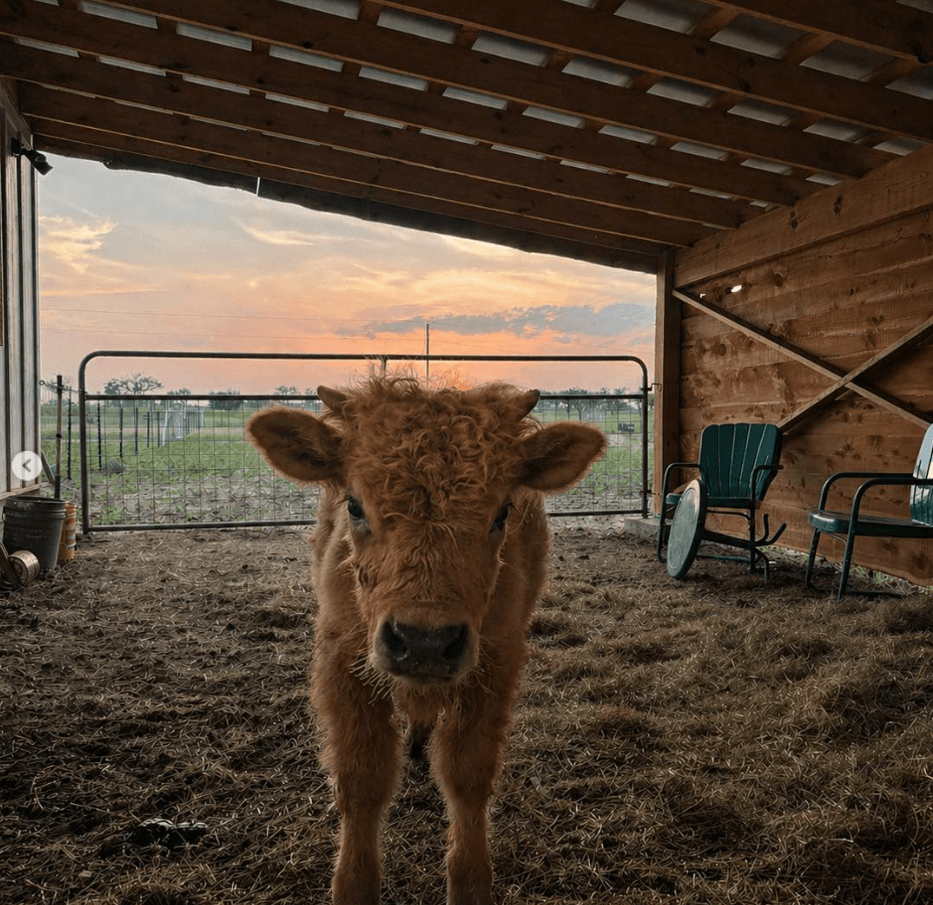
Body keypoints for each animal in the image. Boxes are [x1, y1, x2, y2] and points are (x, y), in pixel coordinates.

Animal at [247, 376, 605, 905]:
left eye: (501, 513)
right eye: (354, 505)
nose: (424, 643)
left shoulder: (494, 666)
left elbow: (466, 775)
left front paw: (471, 882)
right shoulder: (344, 664)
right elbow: (362, 780)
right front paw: (354, 884)